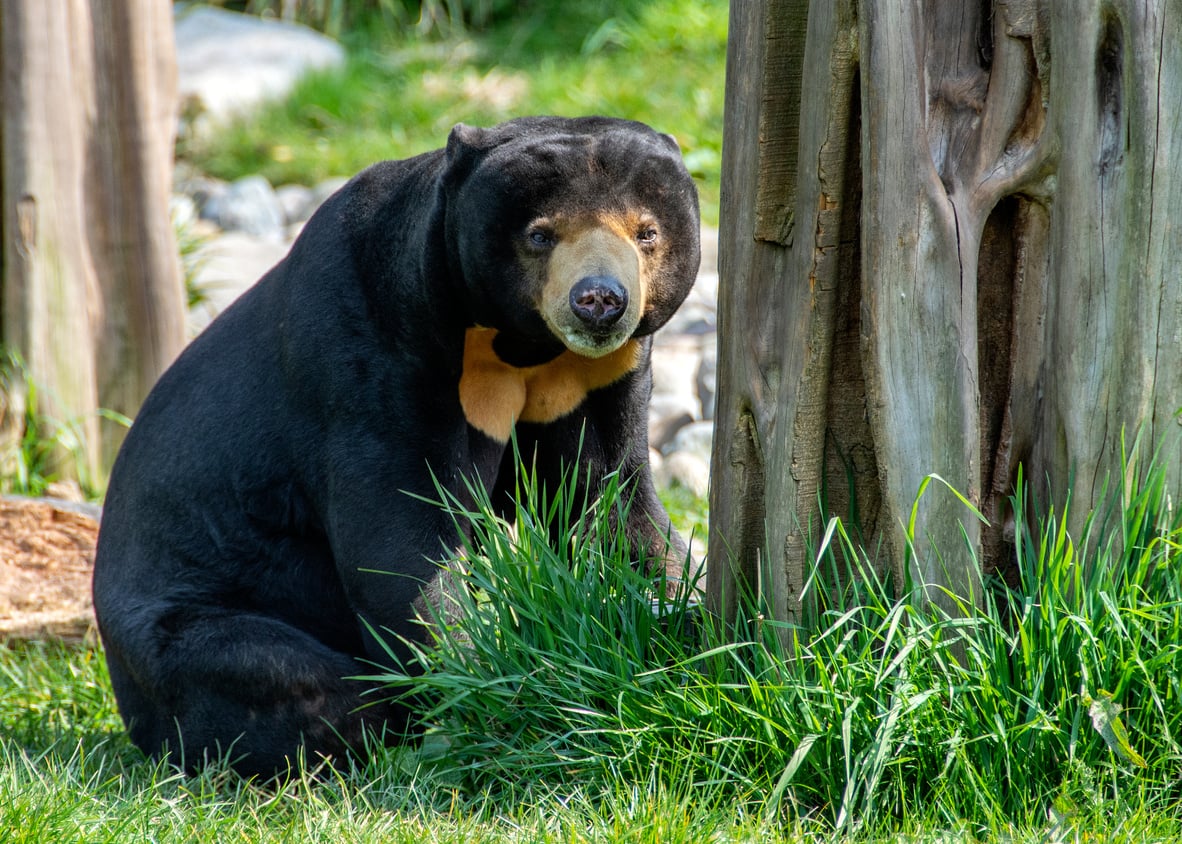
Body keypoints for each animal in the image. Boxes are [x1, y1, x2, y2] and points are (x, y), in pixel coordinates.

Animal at [94, 115, 699, 770]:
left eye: (647, 232)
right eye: (540, 235)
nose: (599, 301)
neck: (517, 348)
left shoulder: (595, 381)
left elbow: (611, 504)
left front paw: (677, 619)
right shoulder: (370, 357)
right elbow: (399, 544)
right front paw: (490, 678)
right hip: (185, 625)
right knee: (292, 681)